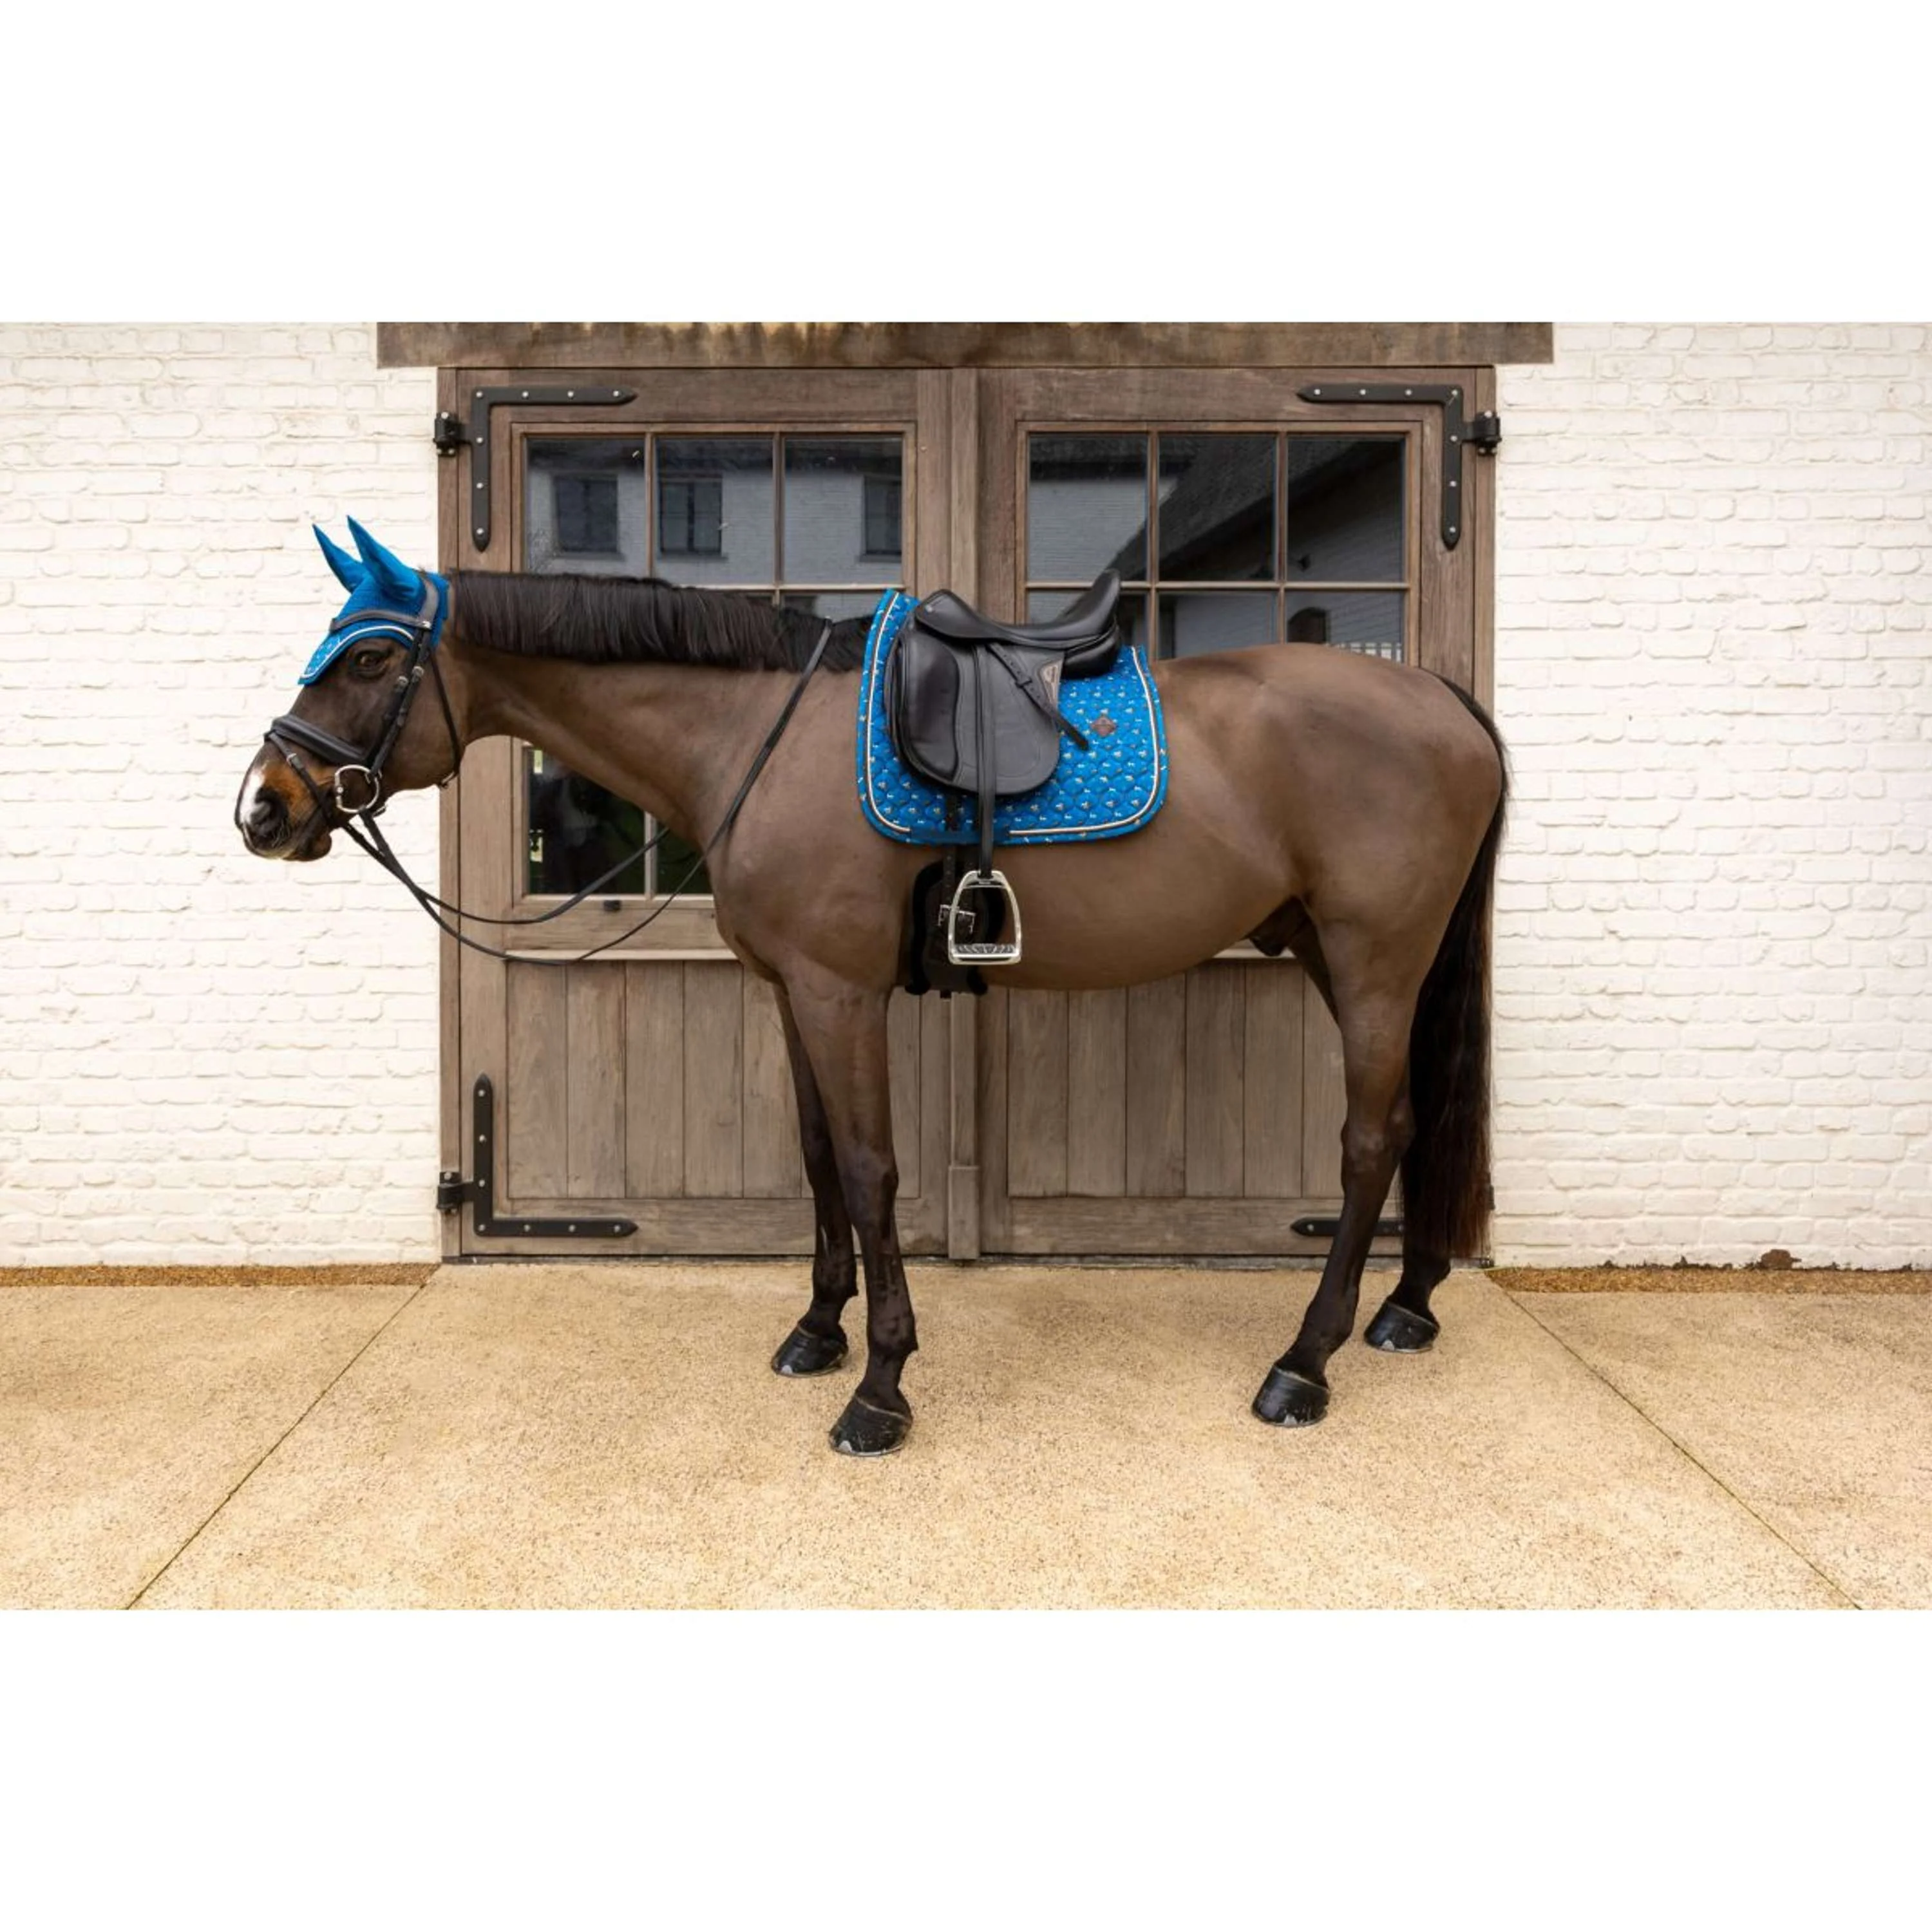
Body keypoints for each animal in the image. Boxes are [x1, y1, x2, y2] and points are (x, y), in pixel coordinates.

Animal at [235, 520, 1507, 1457]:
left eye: (368, 658)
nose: (264, 807)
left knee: (1370, 1139)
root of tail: (1445, 700)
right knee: (1417, 1122)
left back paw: (1302, 1364)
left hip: (1375, 961)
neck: (754, 734)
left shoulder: (841, 992)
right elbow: (814, 1159)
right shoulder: (790, 990)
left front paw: (882, 1388)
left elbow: (868, 1167)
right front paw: (818, 1332)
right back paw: (1407, 1306)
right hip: (1349, 955)